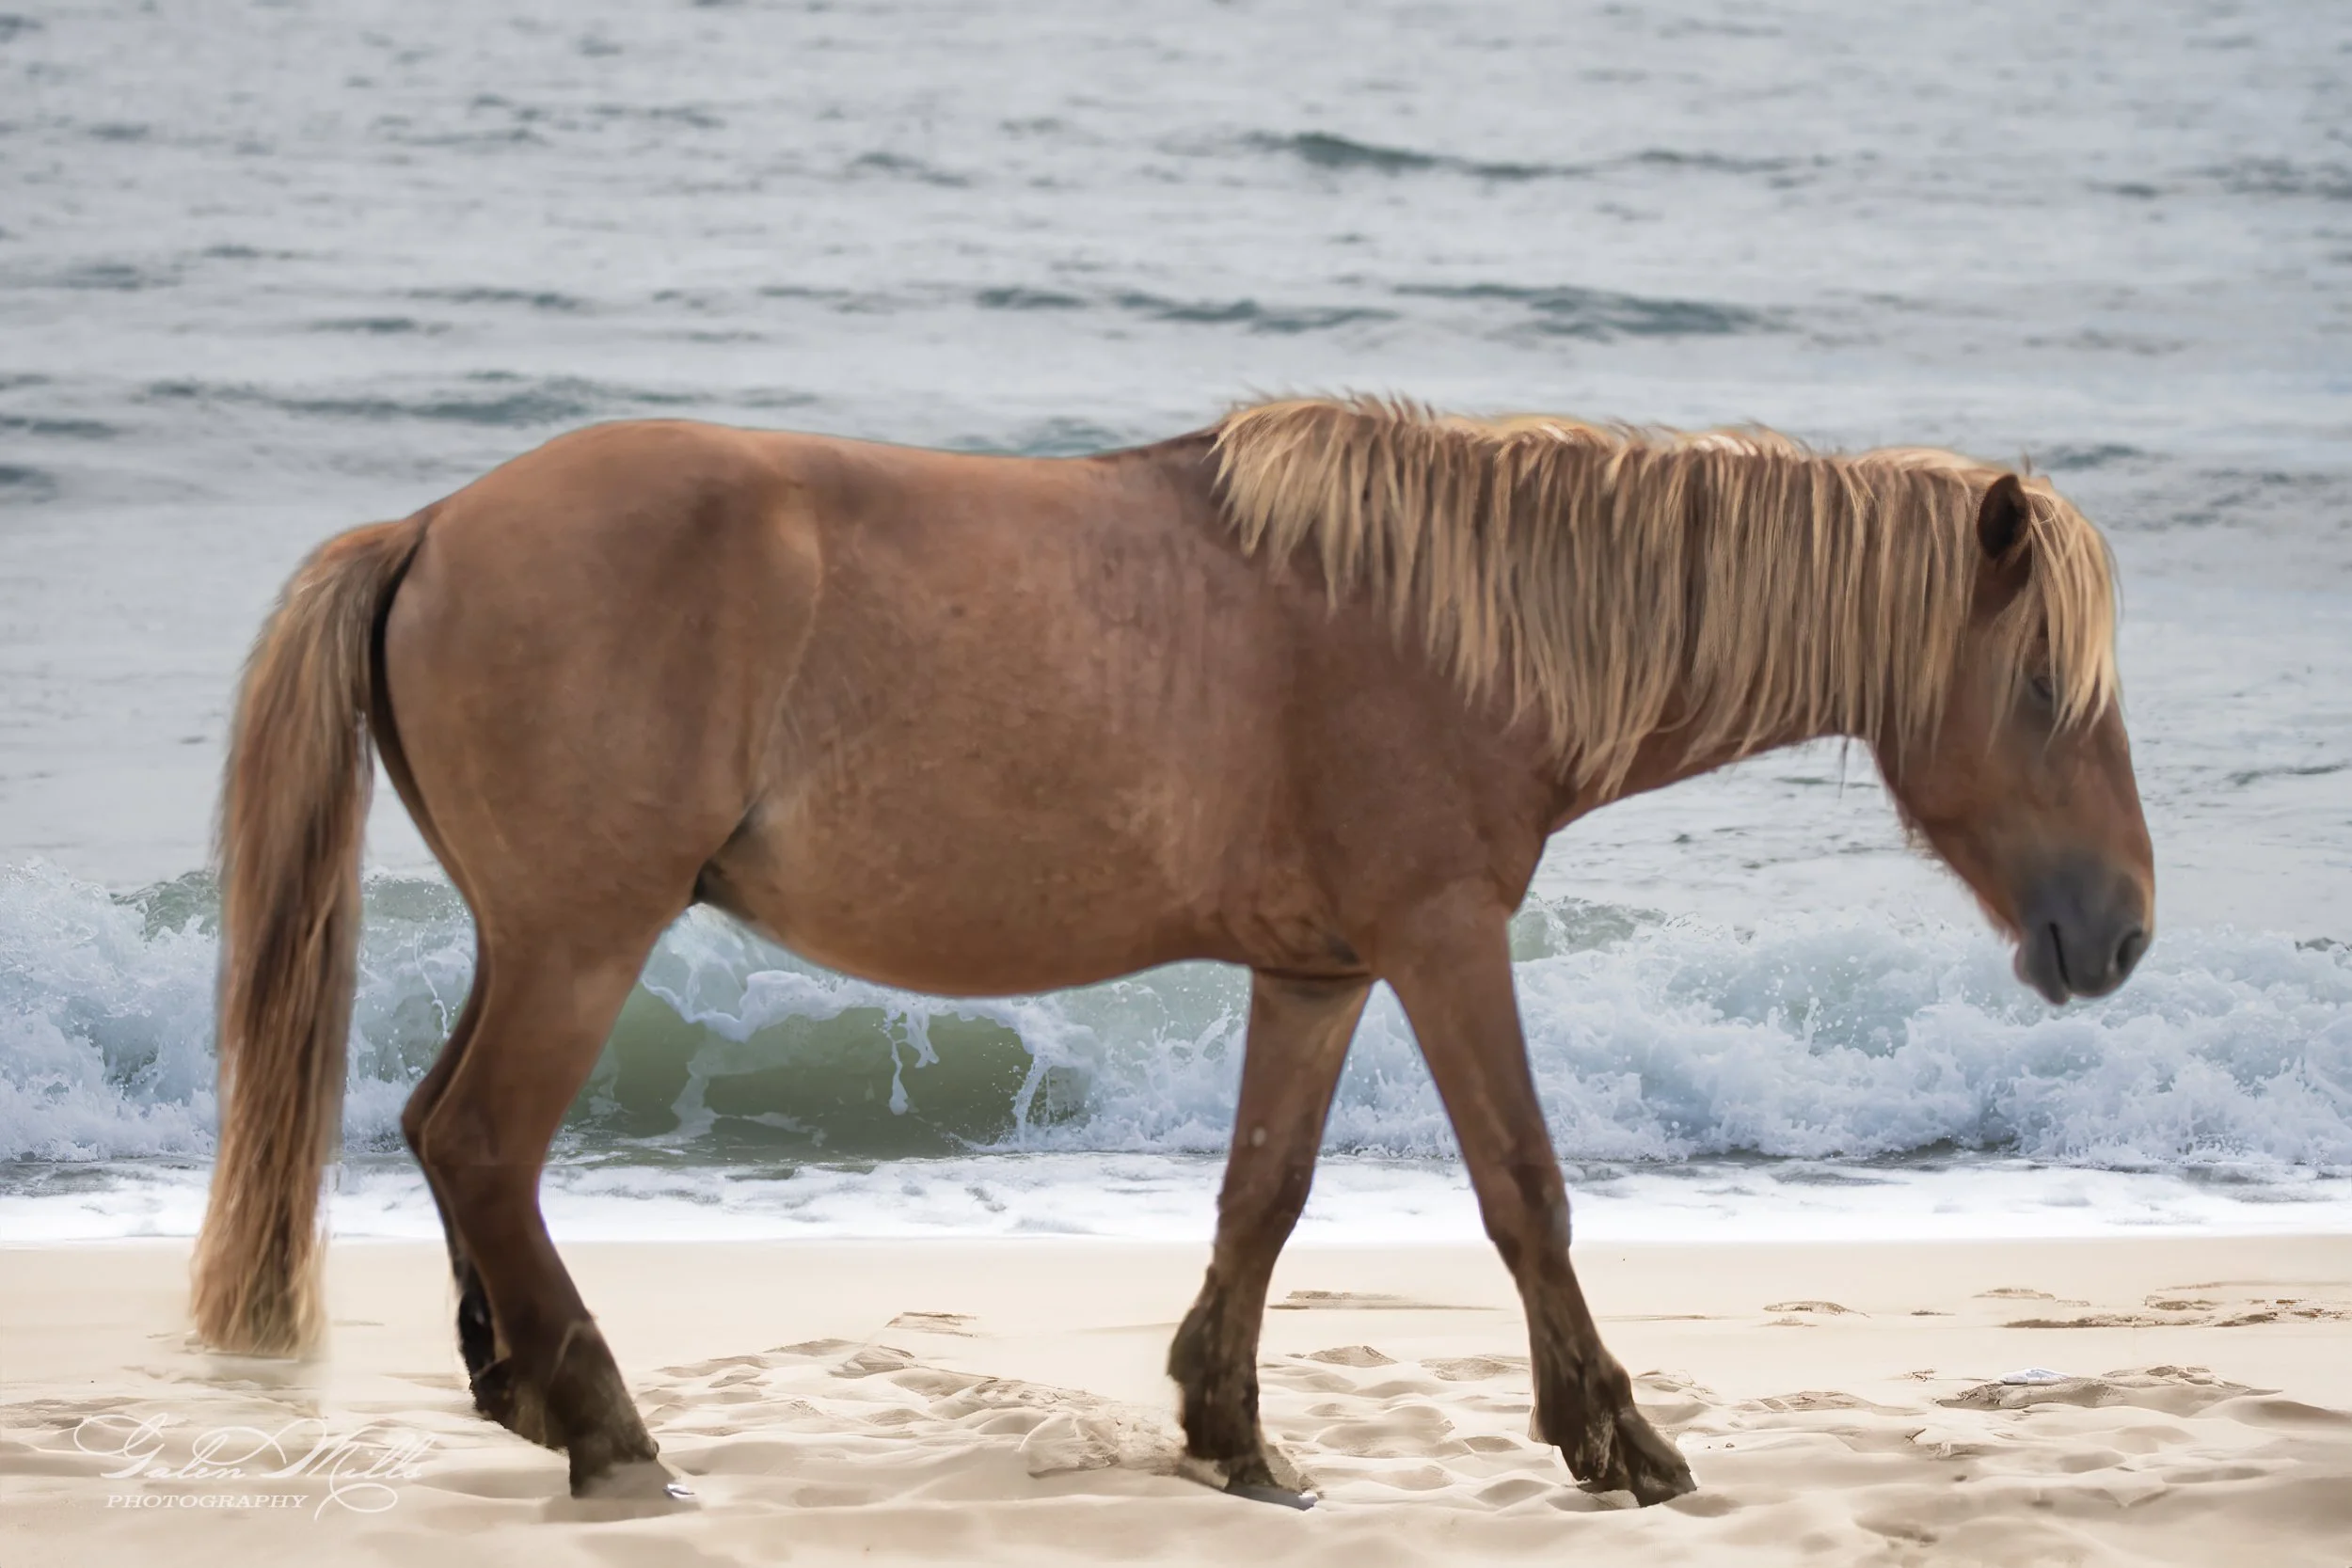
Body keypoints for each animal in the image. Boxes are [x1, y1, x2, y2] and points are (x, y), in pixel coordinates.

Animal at [190, 395, 2153, 1508]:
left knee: (444, 1133)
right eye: (2045, 692)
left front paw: (1231, 1434)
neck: (1446, 623)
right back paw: (602, 1424)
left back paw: (524, 1394)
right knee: (482, 1142)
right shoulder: (1443, 939)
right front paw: (1619, 1439)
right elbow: (1525, 1187)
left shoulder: (1323, 969)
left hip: (533, 938)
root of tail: (433, 526)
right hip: (583, 942)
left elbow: (1262, 1193)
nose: (2120, 931)